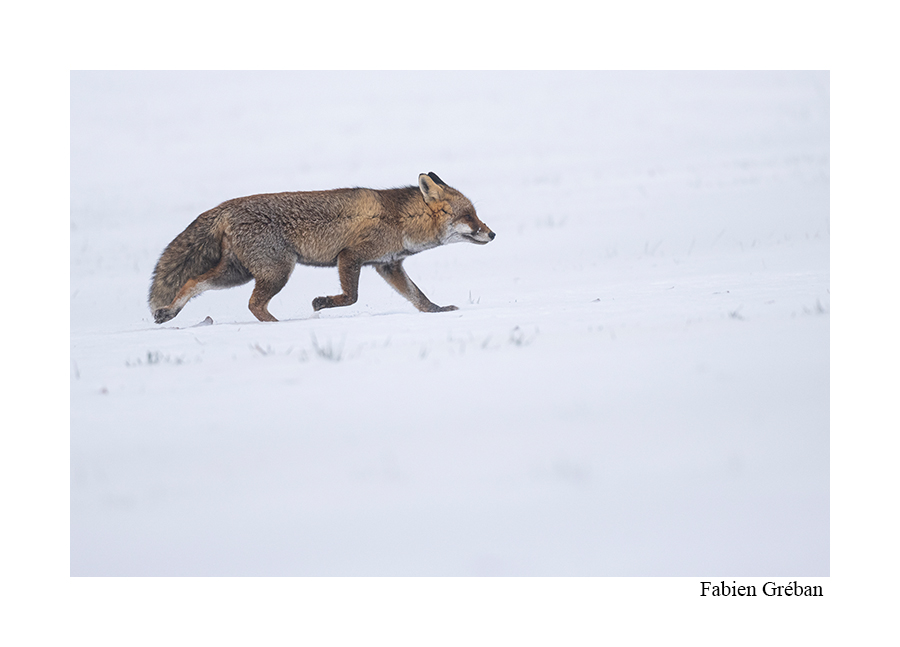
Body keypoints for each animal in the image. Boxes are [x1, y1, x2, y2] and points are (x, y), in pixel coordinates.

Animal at [148, 172, 495, 323]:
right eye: (469, 216)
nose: (492, 234)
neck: (401, 221)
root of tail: (224, 207)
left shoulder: (388, 265)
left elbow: (418, 297)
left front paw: (437, 312)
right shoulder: (351, 255)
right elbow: (351, 297)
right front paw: (321, 303)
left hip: (238, 273)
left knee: (193, 282)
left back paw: (168, 312)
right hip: (276, 272)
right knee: (253, 305)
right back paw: (277, 327)